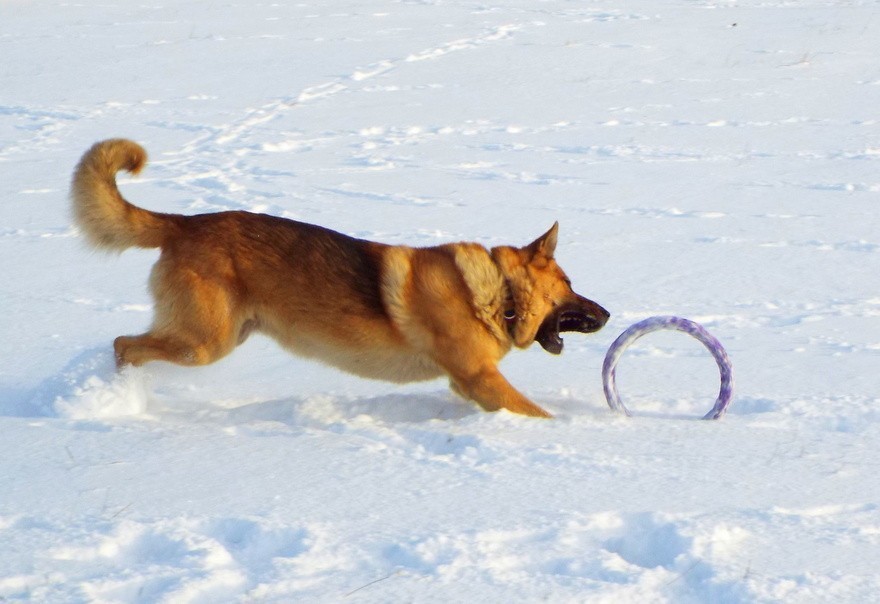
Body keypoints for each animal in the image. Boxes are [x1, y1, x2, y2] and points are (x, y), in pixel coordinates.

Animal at [71, 139, 609, 417]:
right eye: (569, 283)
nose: (607, 314)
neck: (497, 293)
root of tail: (183, 223)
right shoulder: (481, 380)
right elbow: (537, 413)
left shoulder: (470, 385)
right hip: (203, 343)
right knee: (123, 345)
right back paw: (120, 396)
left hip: (218, 337)